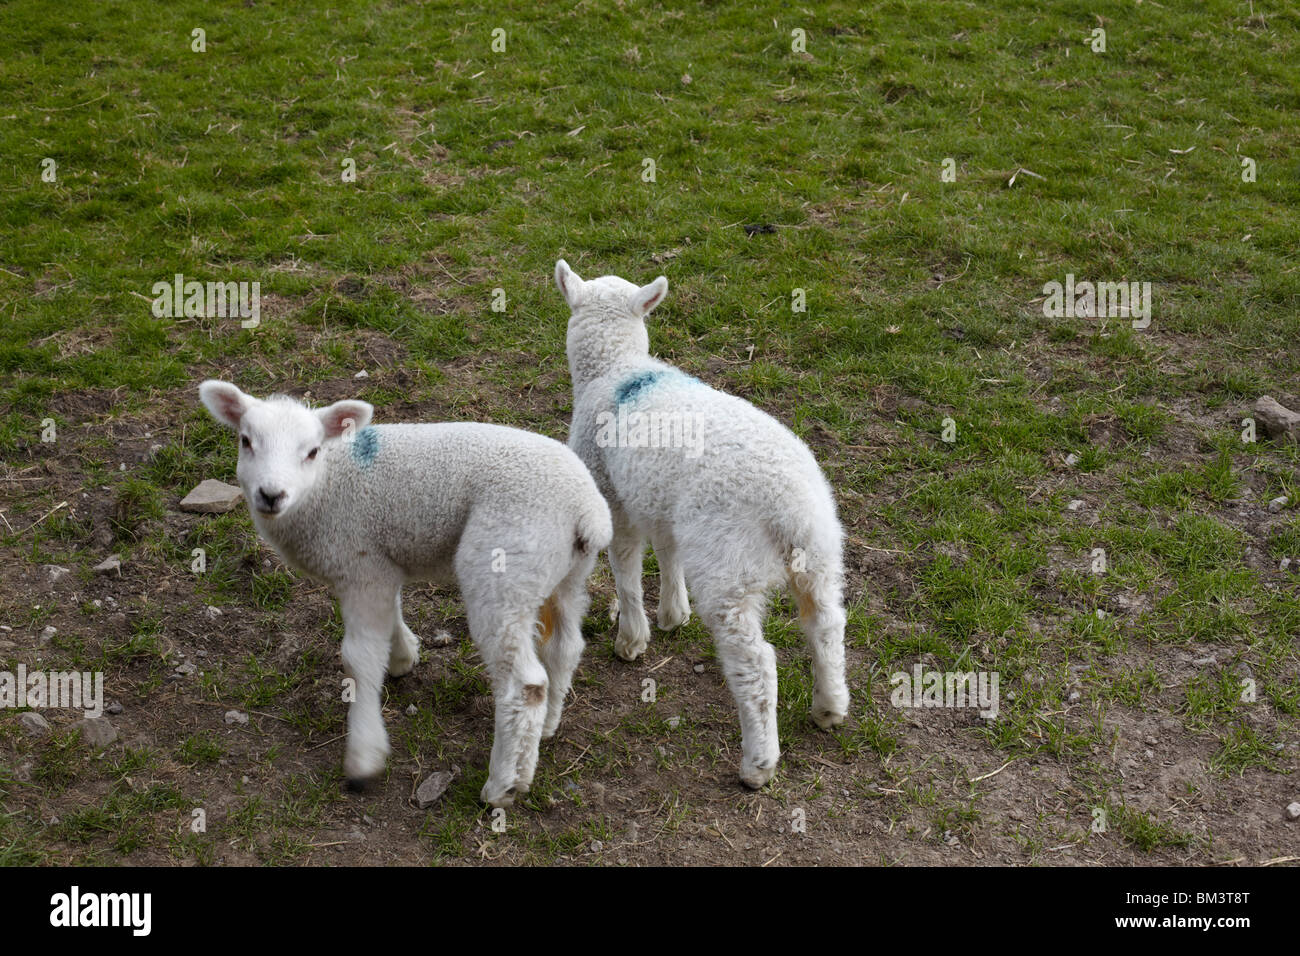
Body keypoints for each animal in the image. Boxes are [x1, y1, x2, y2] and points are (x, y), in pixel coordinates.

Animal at [198, 380, 612, 807]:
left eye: (311, 451)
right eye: (246, 441)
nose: (270, 494)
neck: (326, 483)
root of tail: (588, 512)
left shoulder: (360, 564)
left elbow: (359, 659)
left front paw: (364, 756)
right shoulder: (378, 564)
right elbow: (391, 613)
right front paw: (403, 657)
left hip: (504, 568)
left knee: (525, 685)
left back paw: (503, 785)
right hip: (565, 575)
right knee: (565, 648)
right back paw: (543, 732)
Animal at [554, 260, 851, 789]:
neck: (617, 370)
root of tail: (789, 507)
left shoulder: (613, 496)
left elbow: (626, 568)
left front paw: (632, 638)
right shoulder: (663, 503)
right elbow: (667, 552)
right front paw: (674, 613)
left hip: (729, 564)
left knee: (757, 662)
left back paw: (758, 764)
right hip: (820, 553)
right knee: (827, 624)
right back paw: (830, 707)